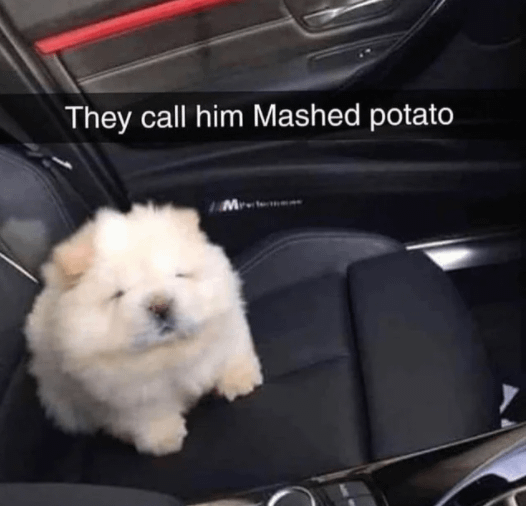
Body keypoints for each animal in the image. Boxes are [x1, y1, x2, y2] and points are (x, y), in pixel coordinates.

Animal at [24, 203, 263, 456]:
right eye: (119, 294)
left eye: (179, 275)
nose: (160, 305)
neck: (170, 352)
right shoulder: (128, 395)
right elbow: (150, 414)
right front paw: (164, 441)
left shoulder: (227, 322)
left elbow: (232, 352)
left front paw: (239, 382)